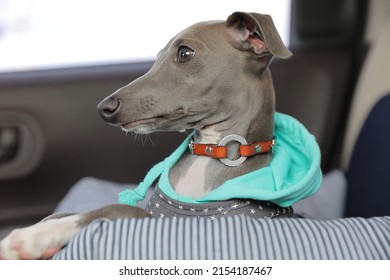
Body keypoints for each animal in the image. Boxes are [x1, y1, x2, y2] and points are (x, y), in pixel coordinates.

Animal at [0, 11, 302, 260]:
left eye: (185, 53)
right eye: (157, 57)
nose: (104, 108)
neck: (211, 153)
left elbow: (117, 209)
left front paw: (32, 237)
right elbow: (68, 212)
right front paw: (42, 227)